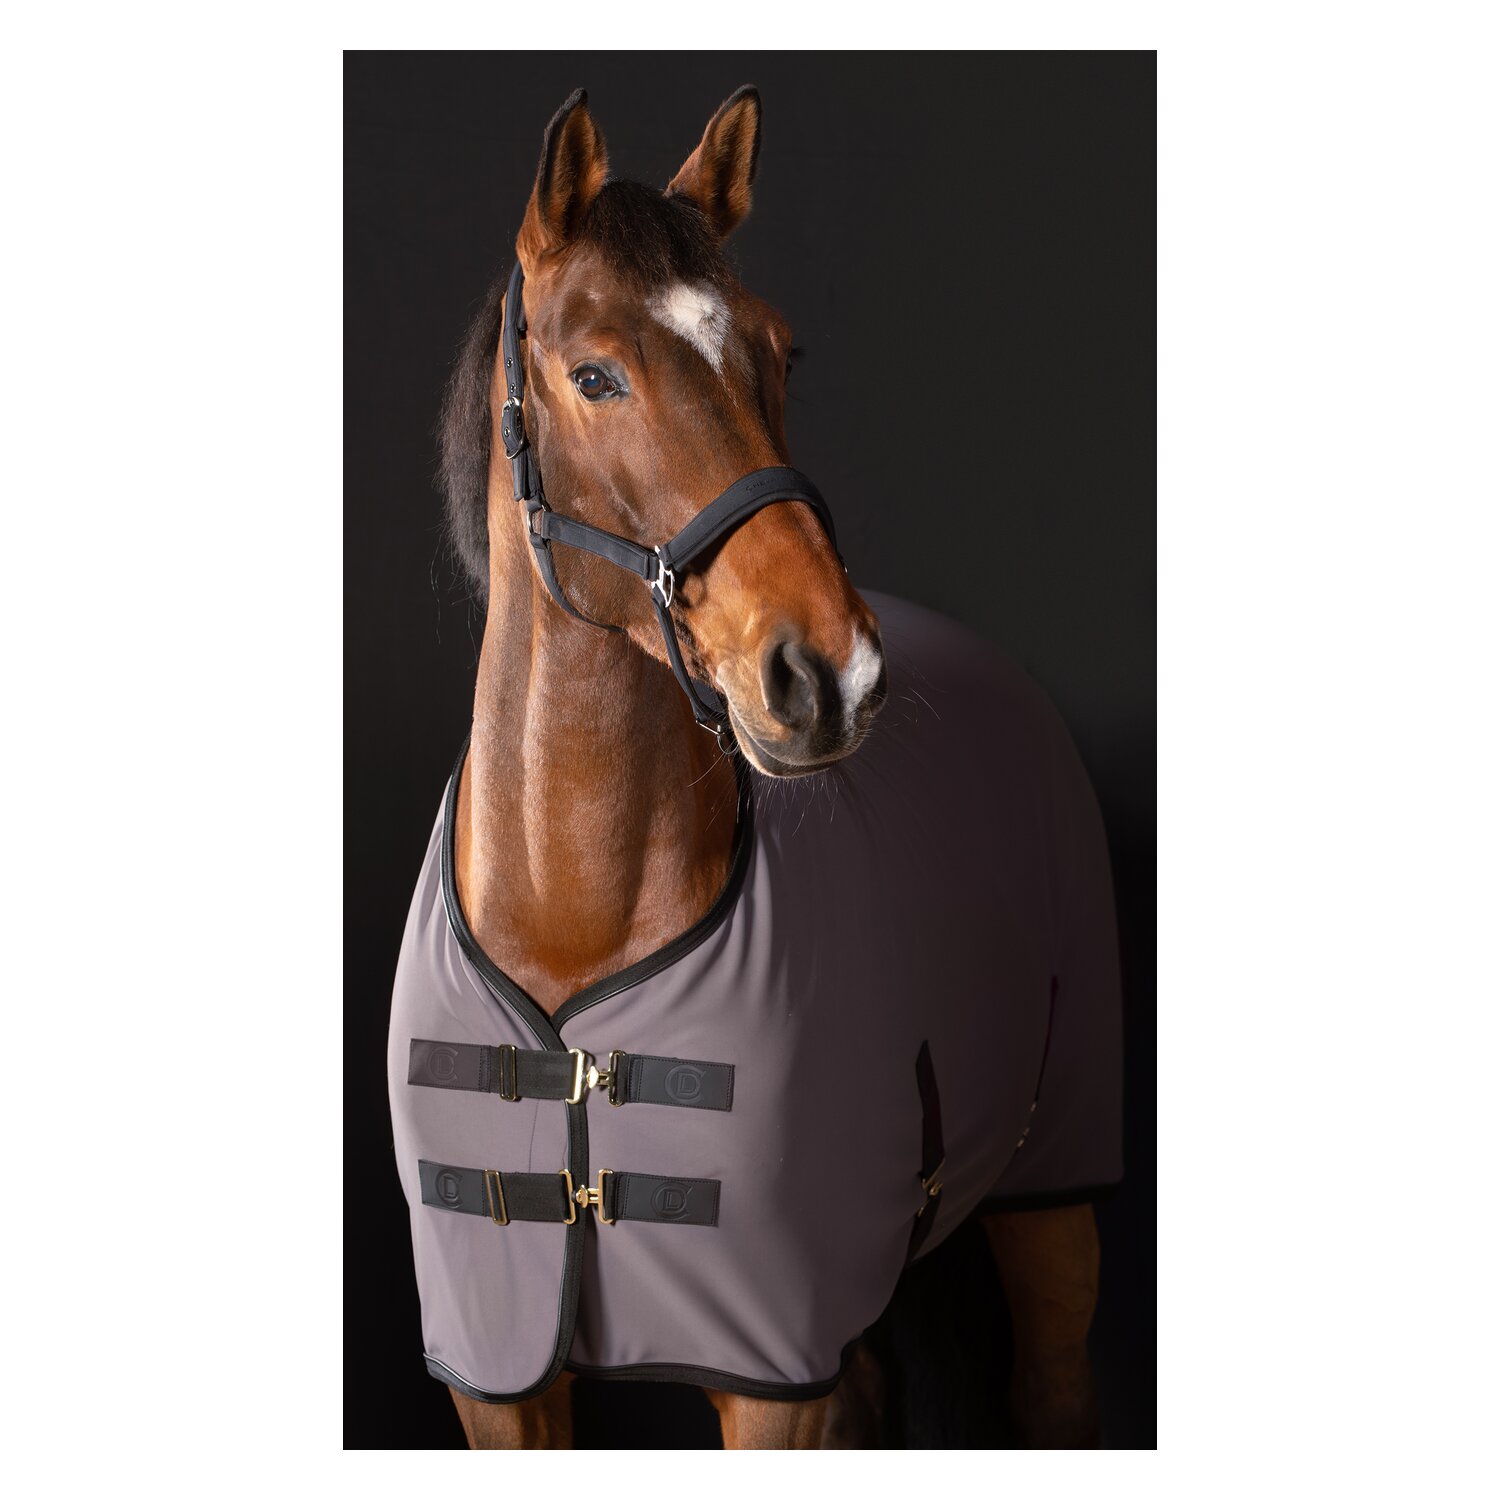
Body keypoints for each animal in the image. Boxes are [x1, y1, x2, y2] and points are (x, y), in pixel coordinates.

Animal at [387, 86, 1122, 1449]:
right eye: (594, 374)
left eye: (781, 352)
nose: (831, 671)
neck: (571, 920)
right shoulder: (498, 1378)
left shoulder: (774, 1376)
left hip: (1051, 1203)